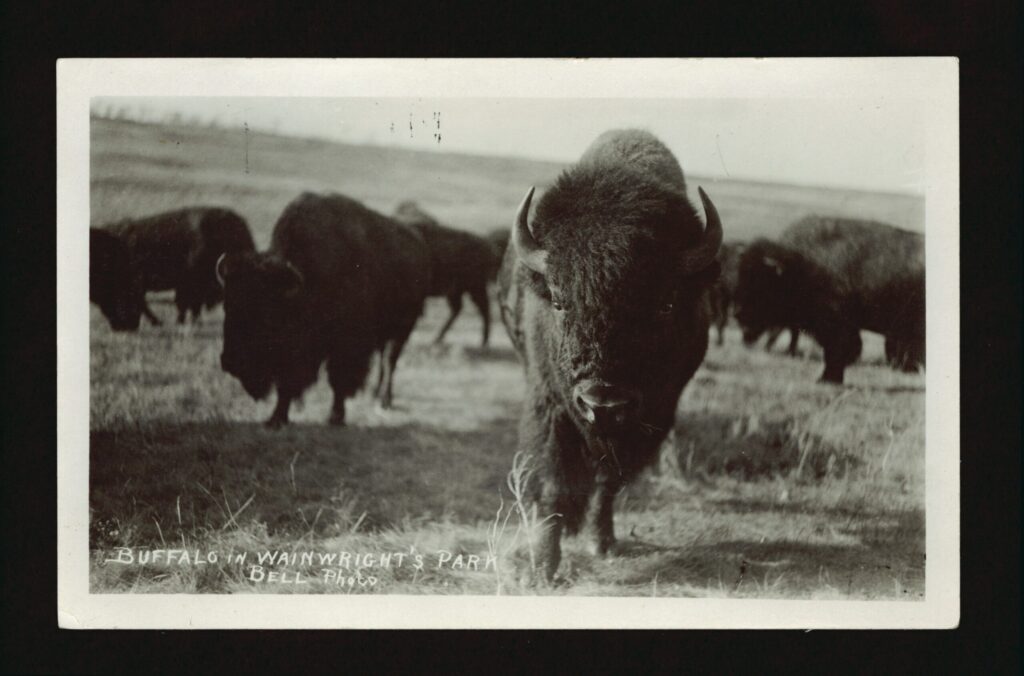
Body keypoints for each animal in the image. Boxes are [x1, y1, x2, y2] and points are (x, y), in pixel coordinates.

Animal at [217, 192, 430, 428]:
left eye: (267, 314)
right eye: (227, 305)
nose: (230, 361)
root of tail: (417, 244)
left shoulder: (346, 345)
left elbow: (338, 380)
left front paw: (335, 416)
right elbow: (287, 384)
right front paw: (276, 418)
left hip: (401, 329)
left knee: (389, 362)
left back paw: (384, 400)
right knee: (384, 363)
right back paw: (375, 395)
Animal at [393, 202, 500, 347]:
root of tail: (489, 246)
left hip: (474, 287)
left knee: (483, 308)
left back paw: (483, 341)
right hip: (457, 291)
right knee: (459, 308)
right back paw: (438, 338)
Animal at [498, 129, 723, 580]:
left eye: (666, 303)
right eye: (559, 301)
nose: (603, 403)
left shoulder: (651, 418)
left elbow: (609, 481)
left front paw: (601, 543)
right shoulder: (550, 406)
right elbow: (553, 483)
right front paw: (543, 567)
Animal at [735, 216, 924, 383]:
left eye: (761, 283)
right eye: (741, 276)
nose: (739, 315)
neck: (801, 266)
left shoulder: (835, 324)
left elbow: (839, 350)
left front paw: (827, 379)